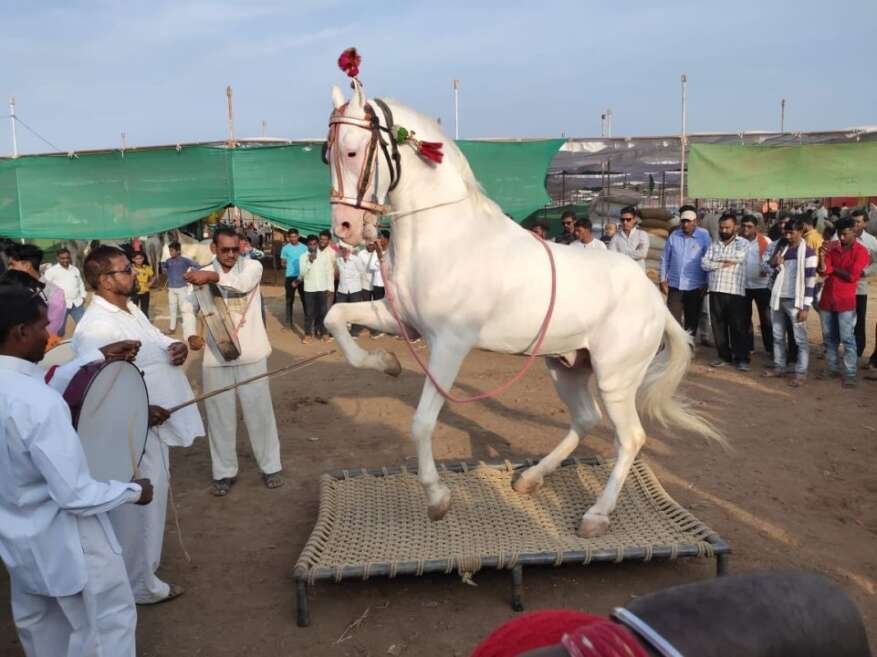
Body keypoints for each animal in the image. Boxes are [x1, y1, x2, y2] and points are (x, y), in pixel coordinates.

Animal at [321, 69, 723, 538]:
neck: (445, 236)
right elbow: (335, 317)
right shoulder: (398, 316)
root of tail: (655, 302)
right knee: (585, 419)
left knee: (630, 438)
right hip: (567, 366)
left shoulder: (448, 344)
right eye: (327, 155)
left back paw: (596, 515)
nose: (345, 228)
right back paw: (530, 478)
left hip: (615, 377)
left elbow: (421, 423)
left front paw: (437, 499)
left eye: (352, 151)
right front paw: (387, 363)